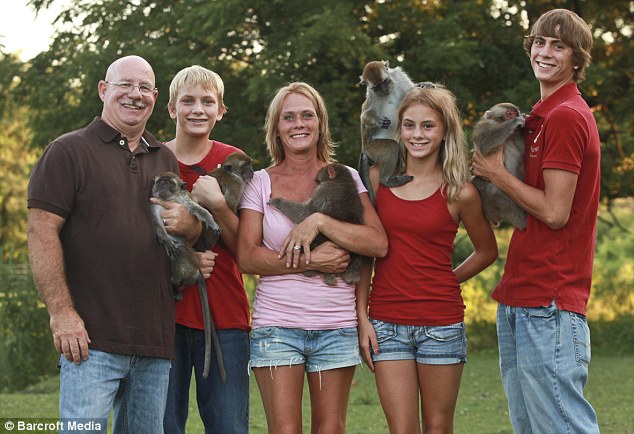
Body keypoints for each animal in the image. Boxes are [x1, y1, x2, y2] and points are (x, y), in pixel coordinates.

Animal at [149, 171, 226, 382]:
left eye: (170, 183)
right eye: (161, 181)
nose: (163, 185)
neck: (170, 199)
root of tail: (195, 271)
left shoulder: (185, 201)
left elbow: (200, 211)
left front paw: (211, 222)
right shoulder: (155, 206)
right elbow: (157, 225)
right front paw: (166, 239)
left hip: (187, 263)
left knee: (181, 254)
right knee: (176, 255)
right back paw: (176, 289)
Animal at [360, 58, 414, 203]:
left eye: (385, 82)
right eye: (377, 87)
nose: (384, 90)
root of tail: (365, 150)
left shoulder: (398, 76)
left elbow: (411, 90)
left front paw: (426, 85)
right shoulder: (371, 94)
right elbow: (364, 116)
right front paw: (378, 120)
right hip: (373, 148)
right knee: (390, 146)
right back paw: (387, 181)